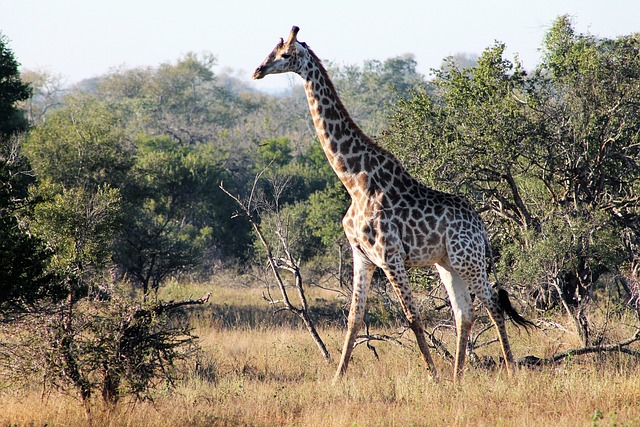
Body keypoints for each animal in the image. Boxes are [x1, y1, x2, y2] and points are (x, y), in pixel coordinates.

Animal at [252, 25, 532, 382]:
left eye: (285, 54)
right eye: (271, 50)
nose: (257, 70)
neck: (354, 181)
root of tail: (481, 227)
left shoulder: (390, 256)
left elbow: (412, 317)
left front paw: (433, 375)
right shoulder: (362, 256)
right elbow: (354, 318)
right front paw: (337, 378)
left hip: (468, 259)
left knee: (493, 305)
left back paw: (509, 370)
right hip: (447, 263)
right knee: (464, 313)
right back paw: (457, 377)